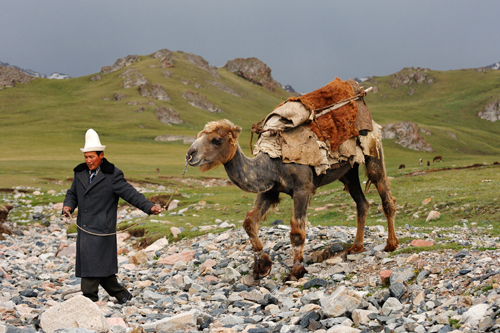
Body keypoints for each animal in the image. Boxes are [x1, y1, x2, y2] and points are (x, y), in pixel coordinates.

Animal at [185, 118, 398, 280]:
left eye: (216, 140)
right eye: (198, 135)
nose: (190, 154)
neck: (272, 164)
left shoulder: (302, 188)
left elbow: (297, 230)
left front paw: (296, 270)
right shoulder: (270, 190)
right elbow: (250, 222)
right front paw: (262, 266)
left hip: (373, 151)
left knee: (385, 194)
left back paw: (391, 244)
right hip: (349, 170)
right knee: (362, 202)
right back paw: (356, 247)